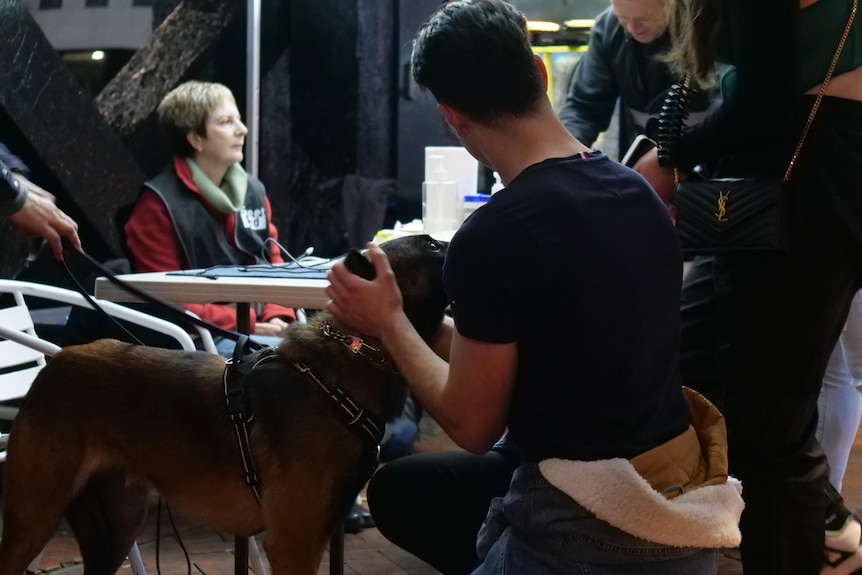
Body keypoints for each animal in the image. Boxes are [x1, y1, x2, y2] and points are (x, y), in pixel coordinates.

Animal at [0, 234, 448, 575]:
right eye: (431, 246)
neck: (347, 360)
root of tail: (58, 359)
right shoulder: (295, 545)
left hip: (116, 528)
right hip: (34, 520)